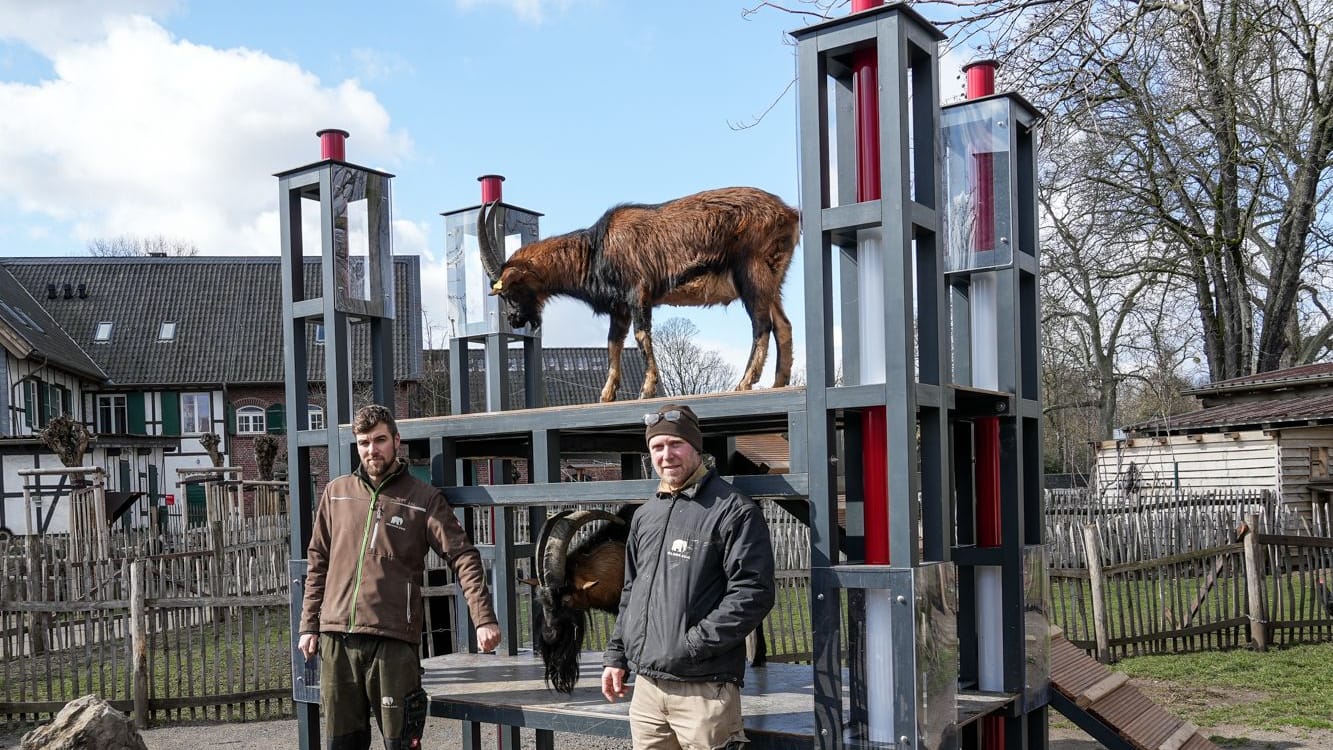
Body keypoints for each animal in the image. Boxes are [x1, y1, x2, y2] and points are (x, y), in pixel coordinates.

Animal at [477, 185, 794, 402]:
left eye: (510, 291)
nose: (515, 319)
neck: (595, 249)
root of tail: (790, 213)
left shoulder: (638, 292)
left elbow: (642, 336)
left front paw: (646, 389)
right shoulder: (619, 307)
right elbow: (613, 343)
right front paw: (606, 395)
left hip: (751, 271)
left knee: (762, 324)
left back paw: (745, 382)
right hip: (773, 279)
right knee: (783, 324)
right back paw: (780, 382)